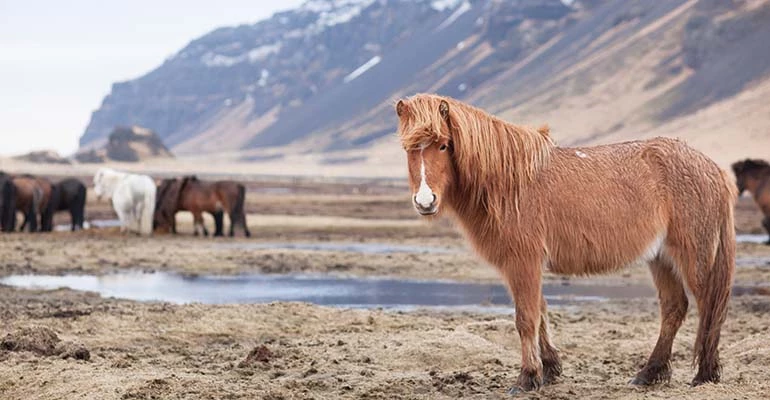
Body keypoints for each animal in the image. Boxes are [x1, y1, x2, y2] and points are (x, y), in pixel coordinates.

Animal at [400, 94, 736, 394]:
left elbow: (526, 318)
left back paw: (704, 375)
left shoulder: (524, 262)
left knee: (708, 306)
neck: (508, 183)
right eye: (407, 149)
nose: (425, 201)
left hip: (693, 257)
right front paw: (549, 369)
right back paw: (648, 373)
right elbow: (540, 311)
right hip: (661, 258)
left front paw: (527, 378)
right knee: (674, 308)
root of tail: (714, 169)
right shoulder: (525, 265)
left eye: (443, 145)